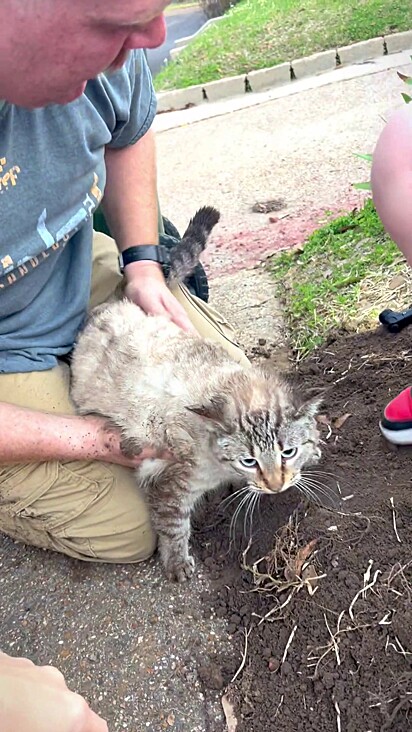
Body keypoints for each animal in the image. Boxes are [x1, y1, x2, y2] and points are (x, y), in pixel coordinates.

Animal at [71, 207, 322, 584]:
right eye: (249, 461)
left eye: (287, 452)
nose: (276, 486)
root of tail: (114, 302)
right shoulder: (173, 484)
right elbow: (173, 527)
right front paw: (177, 564)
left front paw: (312, 454)